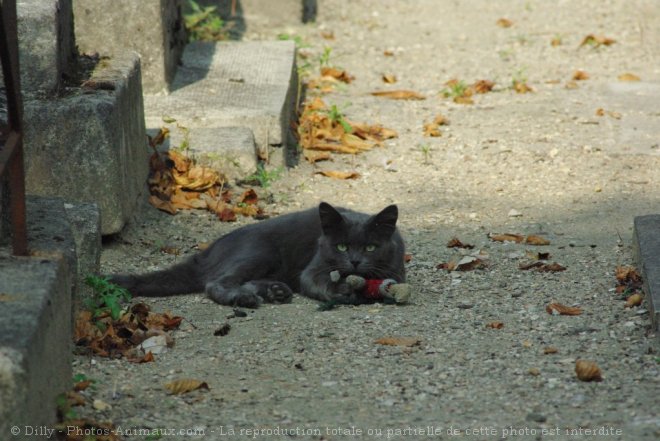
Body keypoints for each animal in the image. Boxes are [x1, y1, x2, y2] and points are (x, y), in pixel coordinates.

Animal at [111, 202, 404, 308]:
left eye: (370, 248)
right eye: (341, 247)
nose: (354, 261)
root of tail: (207, 252)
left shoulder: (396, 272)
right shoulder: (314, 267)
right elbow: (317, 281)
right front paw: (343, 291)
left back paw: (275, 291)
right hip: (260, 251)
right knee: (216, 283)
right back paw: (244, 298)